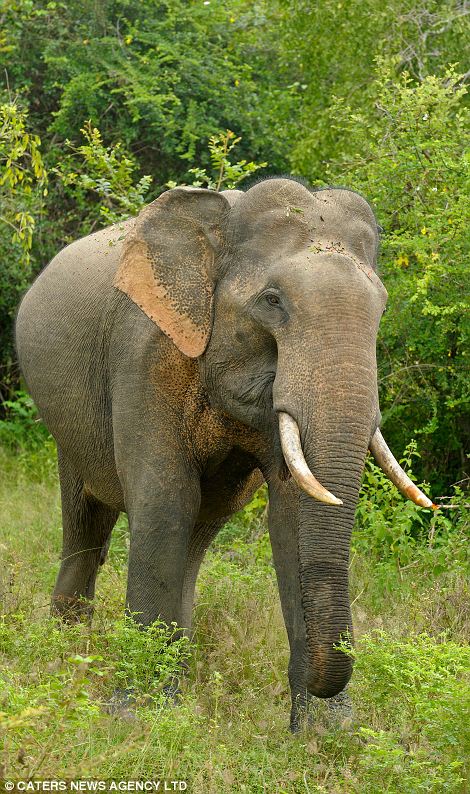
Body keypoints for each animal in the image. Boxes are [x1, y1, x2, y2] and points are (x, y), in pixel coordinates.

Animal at [14, 176, 434, 728]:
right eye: (273, 301)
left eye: (382, 308)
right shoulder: (144, 352)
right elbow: (163, 499)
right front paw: (137, 717)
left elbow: (292, 514)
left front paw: (327, 734)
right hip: (68, 424)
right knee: (87, 522)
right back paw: (70, 656)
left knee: (197, 531)